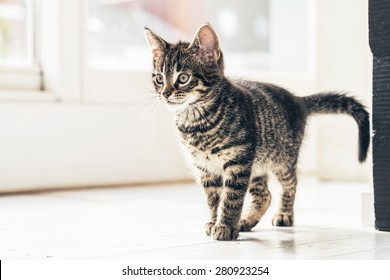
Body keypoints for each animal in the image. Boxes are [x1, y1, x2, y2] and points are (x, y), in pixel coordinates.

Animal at [145, 24, 370, 241]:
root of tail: (298, 100)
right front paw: (215, 221)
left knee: (291, 184)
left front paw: (226, 227)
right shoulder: (205, 168)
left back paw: (284, 215)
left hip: (282, 159)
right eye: (159, 78)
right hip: (256, 165)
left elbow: (231, 198)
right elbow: (213, 198)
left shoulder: (238, 162)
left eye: (183, 78)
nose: (165, 93)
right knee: (264, 195)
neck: (196, 121)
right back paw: (246, 221)